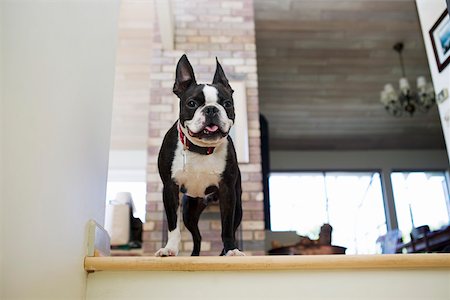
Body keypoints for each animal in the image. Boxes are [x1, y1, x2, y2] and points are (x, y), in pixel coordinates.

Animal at [156, 55, 244, 256]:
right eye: (192, 103)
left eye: (227, 104)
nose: (211, 109)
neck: (201, 148)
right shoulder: (170, 188)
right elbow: (173, 226)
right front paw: (169, 249)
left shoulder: (228, 192)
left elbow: (227, 228)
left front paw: (232, 251)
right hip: (190, 211)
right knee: (197, 237)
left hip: (238, 206)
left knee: (229, 228)